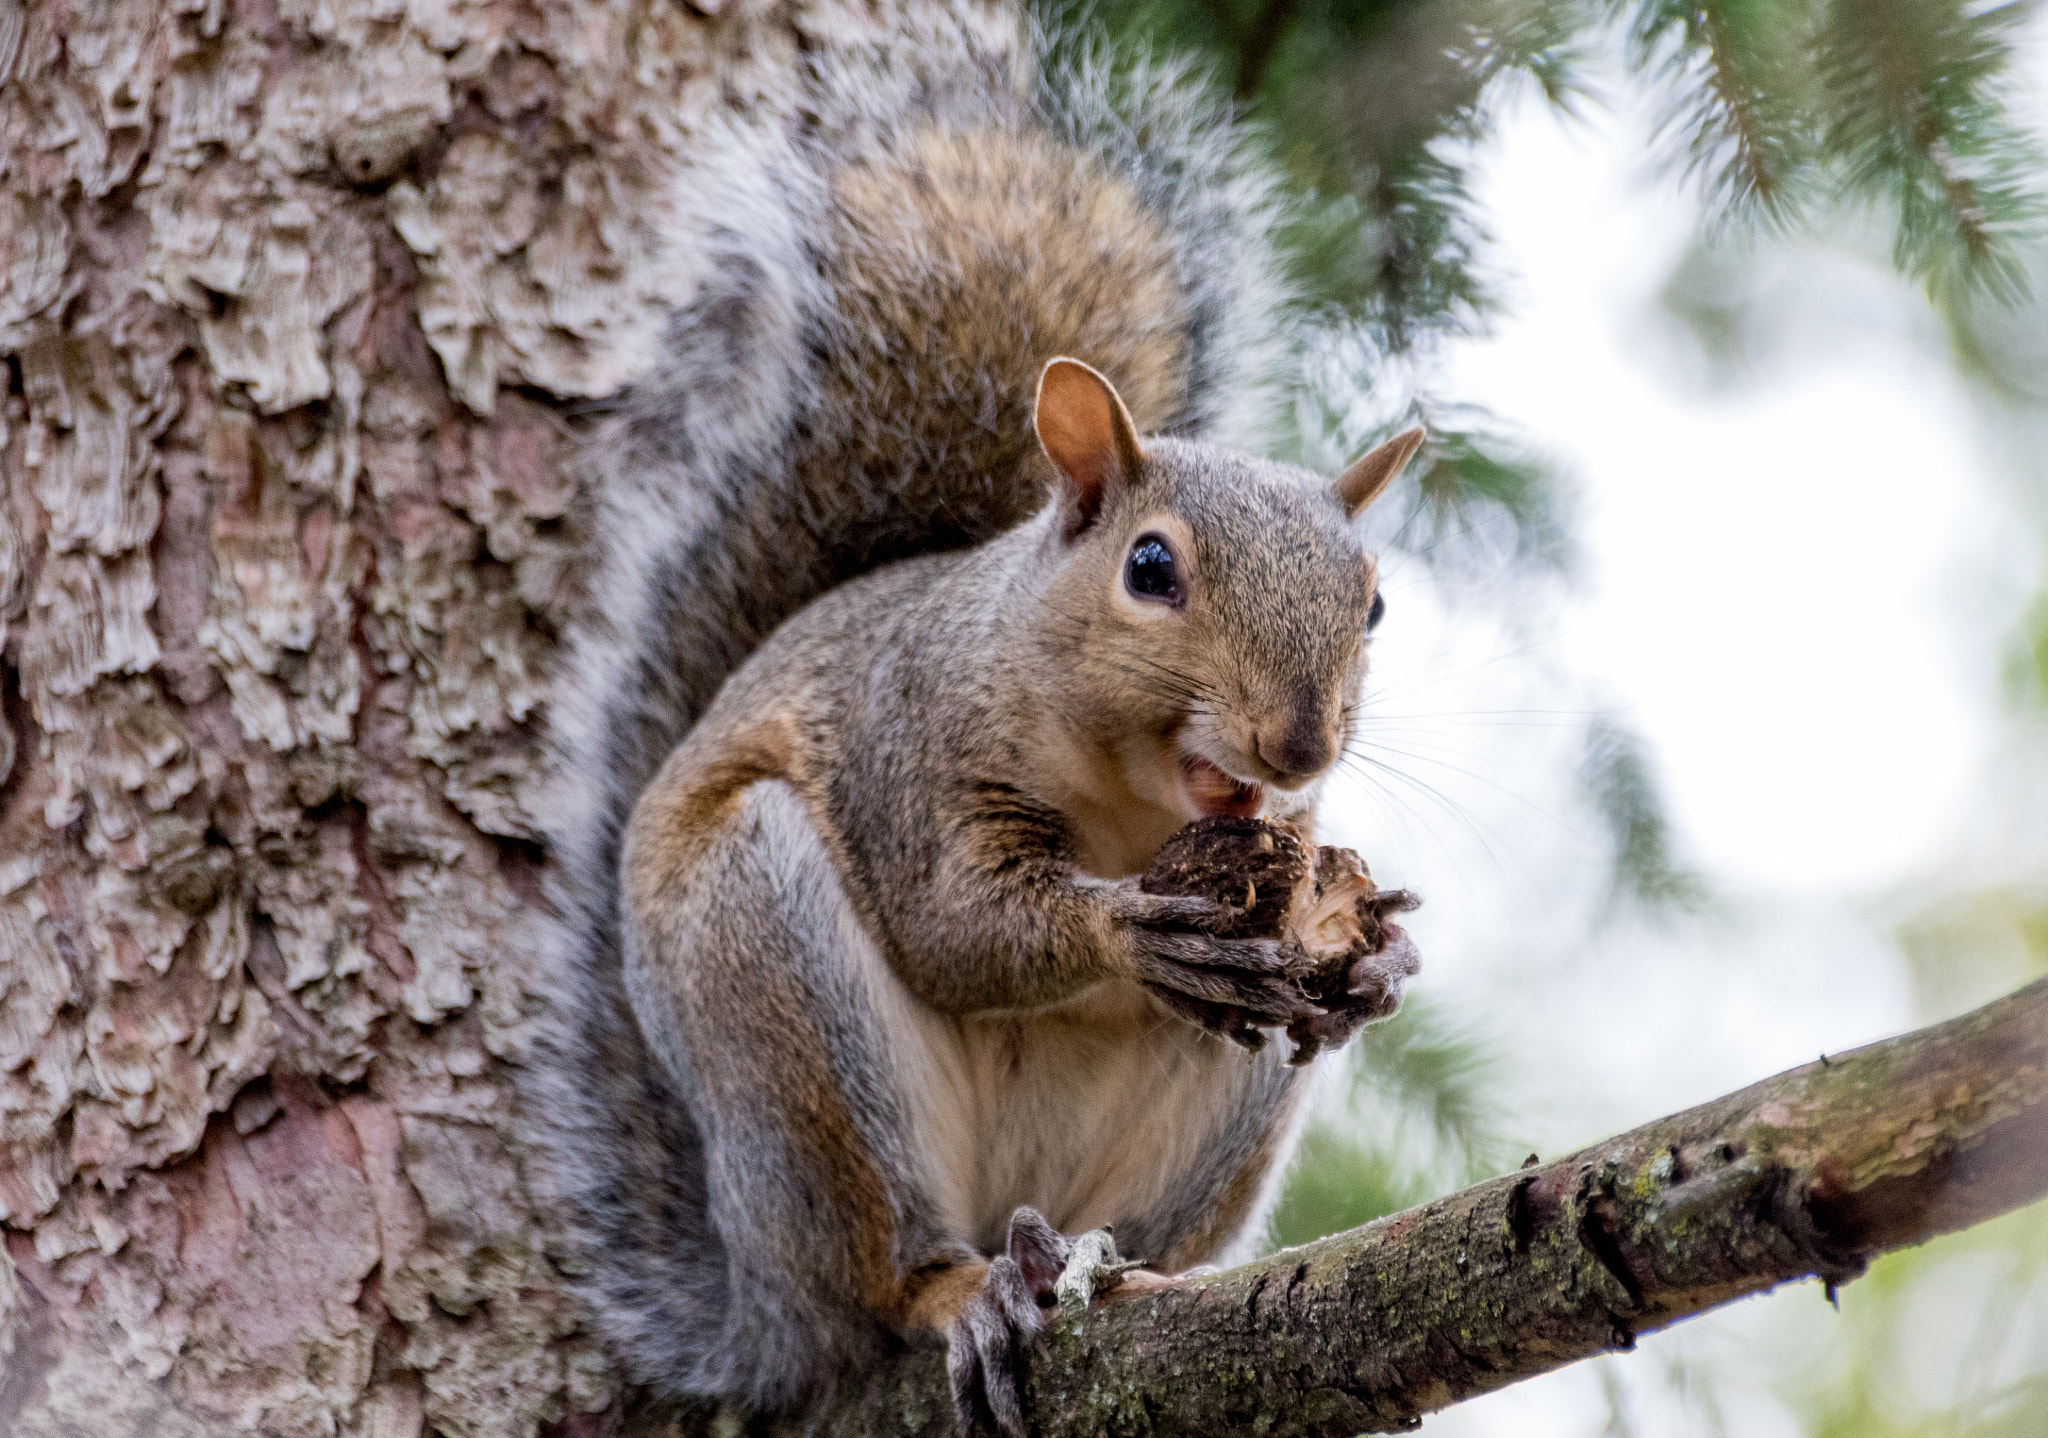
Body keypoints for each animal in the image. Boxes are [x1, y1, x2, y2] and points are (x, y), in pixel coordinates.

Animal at [524, 18, 1425, 1436]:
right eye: (1150, 568)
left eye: (1374, 602)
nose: (1297, 747)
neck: (1130, 804)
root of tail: (760, 1308)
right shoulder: (908, 744)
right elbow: (953, 925)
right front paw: (1120, 930)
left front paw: (1381, 958)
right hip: (779, 1002)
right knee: (882, 1271)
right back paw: (963, 1293)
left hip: (1211, 1130)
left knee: (1131, 1242)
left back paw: (1131, 1282)